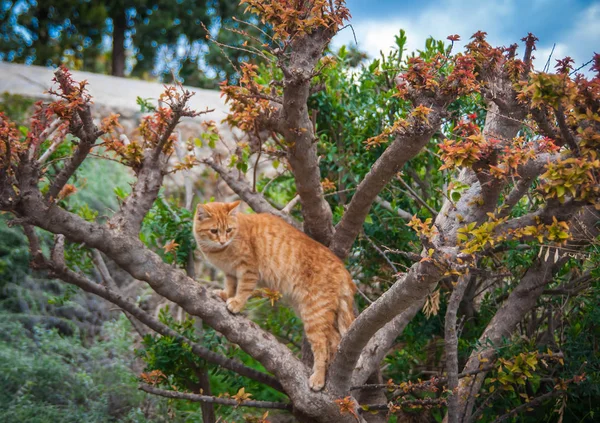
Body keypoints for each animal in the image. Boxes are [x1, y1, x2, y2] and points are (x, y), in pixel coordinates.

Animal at [193, 201, 356, 390]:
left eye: (228, 230)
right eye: (214, 231)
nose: (222, 241)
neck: (221, 250)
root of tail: (342, 268)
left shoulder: (248, 270)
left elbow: (243, 289)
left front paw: (236, 303)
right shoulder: (230, 273)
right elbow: (231, 286)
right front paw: (225, 295)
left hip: (314, 314)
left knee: (322, 345)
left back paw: (319, 378)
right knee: (334, 339)